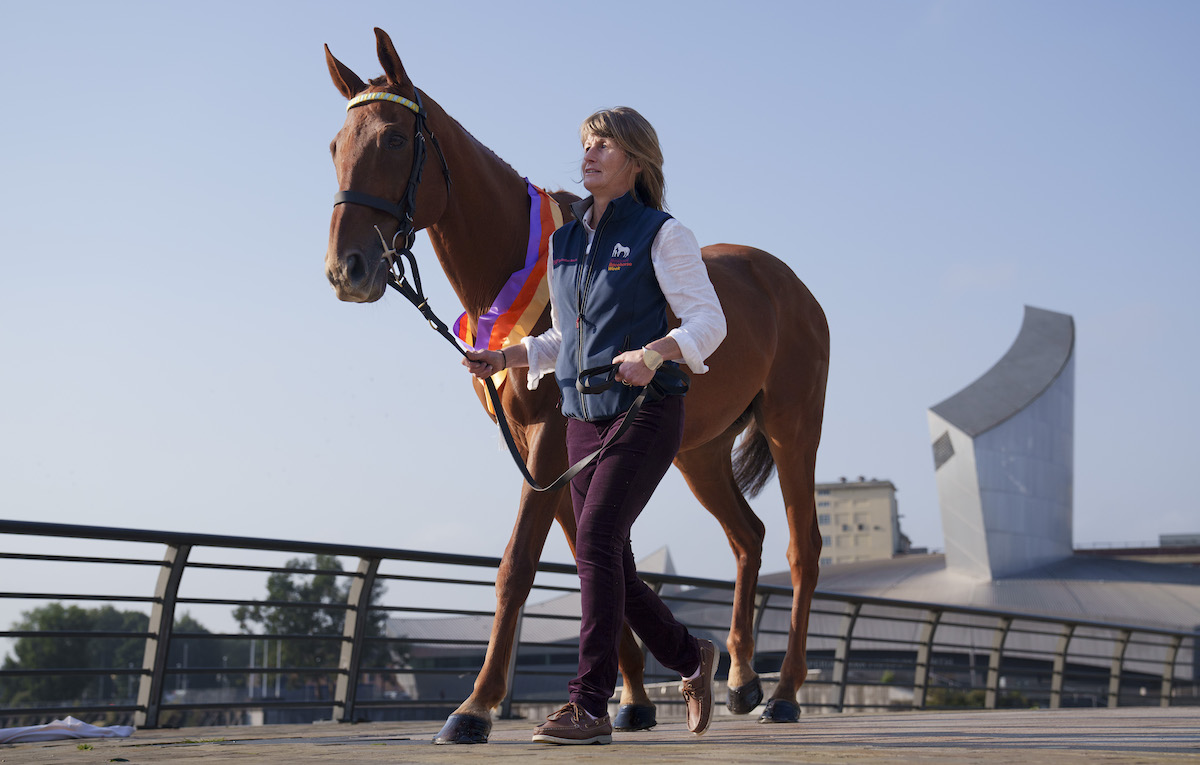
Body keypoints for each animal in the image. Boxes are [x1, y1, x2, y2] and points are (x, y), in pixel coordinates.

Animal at [326, 28, 835, 743]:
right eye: (336, 146)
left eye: (395, 140)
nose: (348, 268)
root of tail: (790, 286)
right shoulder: (548, 446)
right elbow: (596, 557)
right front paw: (631, 699)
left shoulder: (547, 436)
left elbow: (520, 565)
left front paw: (475, 707)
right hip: (699, 453)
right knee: (747, 537)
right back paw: (736, 678)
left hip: (794, 428)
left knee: (802, 547)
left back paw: (784, 692)